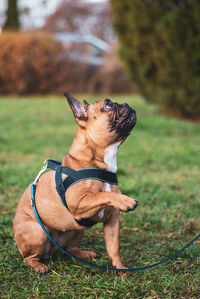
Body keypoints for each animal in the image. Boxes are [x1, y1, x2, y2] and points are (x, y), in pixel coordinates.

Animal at [12, 94, 138, 274]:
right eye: (108, 105)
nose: (127, 104)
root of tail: (52, 250)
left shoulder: (112, 220)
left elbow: (114, 247)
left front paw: (120, 268)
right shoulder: (79, 203)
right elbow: (102, 194)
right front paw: (125, 200)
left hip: (77, 231)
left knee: (70, 249)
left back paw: (84, 253)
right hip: (38, 233)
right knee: (29, 257)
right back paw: (38, 266)